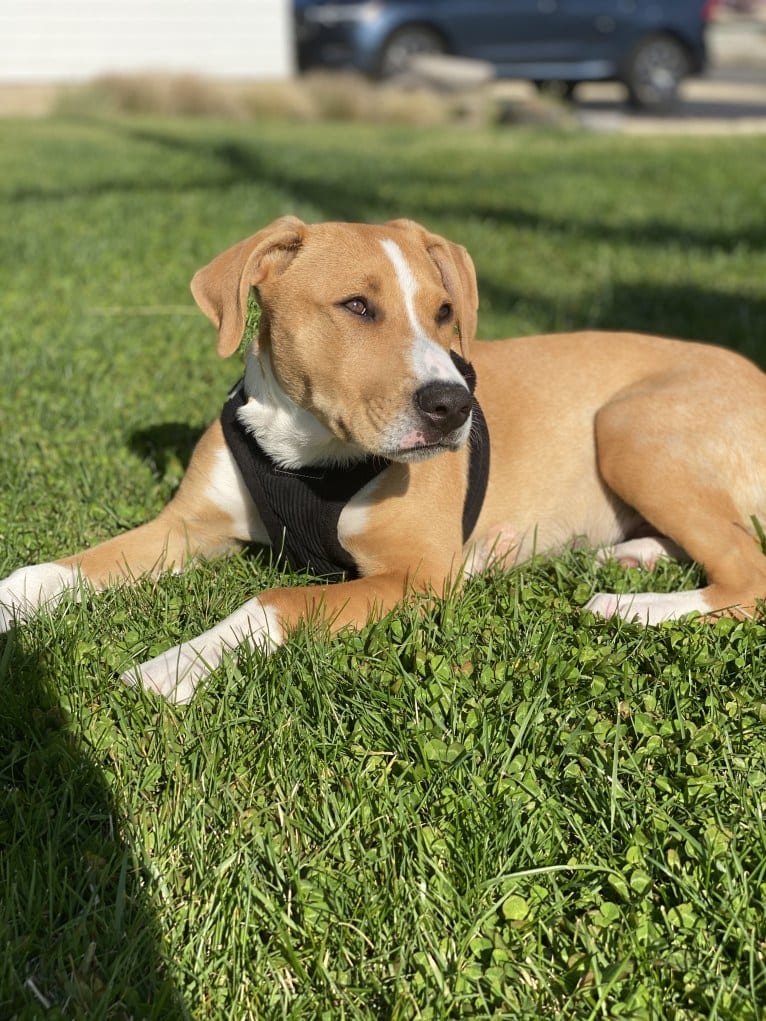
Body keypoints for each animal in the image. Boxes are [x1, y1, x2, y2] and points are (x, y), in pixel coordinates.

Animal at [1, 216, 766, 706]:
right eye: (357, 306)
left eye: (445, 311)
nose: (454, 405)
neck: (304, 454)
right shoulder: (186, 524)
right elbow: (58, 569)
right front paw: (13, 600)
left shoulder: (419, 575)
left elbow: (274, 599)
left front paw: (177, 663)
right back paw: (634, 558)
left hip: (629, 425)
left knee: (748, 575)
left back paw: (626, 606)